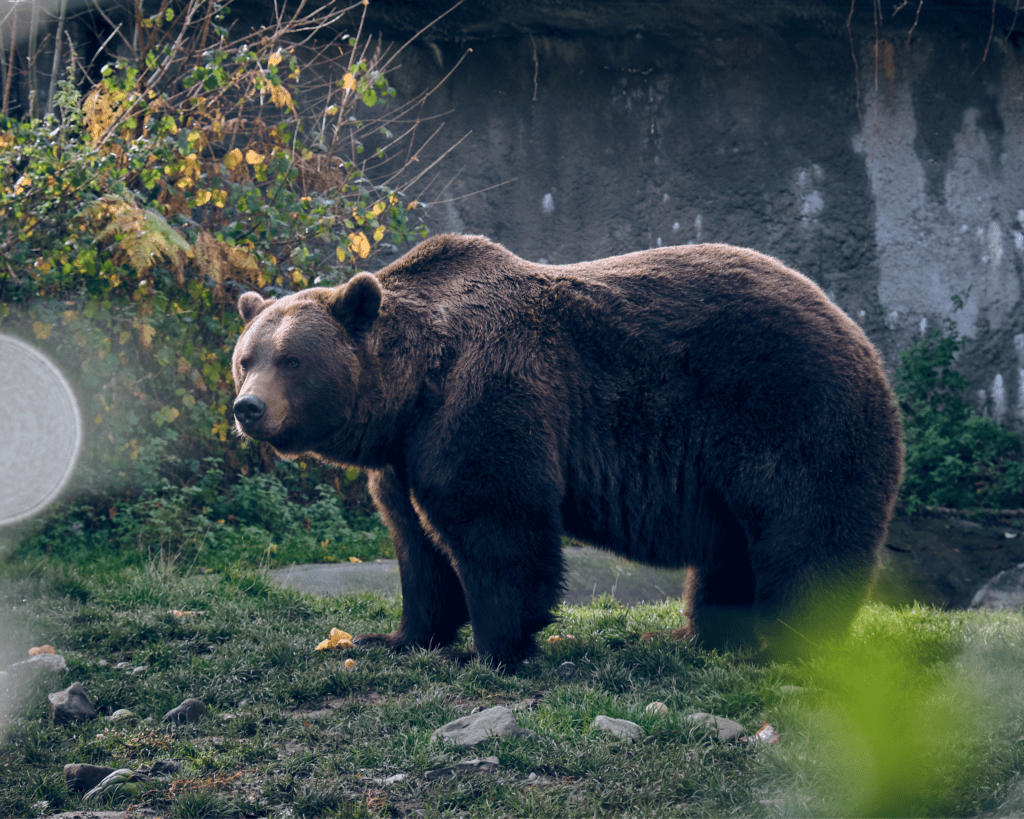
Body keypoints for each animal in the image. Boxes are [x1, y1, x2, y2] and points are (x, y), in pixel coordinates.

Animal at [231, 234, 903, 669]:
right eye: (246, 357)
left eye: (291, 359)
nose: (247, 408)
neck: (415, 389)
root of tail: (854, 329)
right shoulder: (403, 455)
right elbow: (416, 545)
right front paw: (397, 637)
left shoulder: (486, 404)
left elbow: (497, 528)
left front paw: (496, 649)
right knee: (731, 553)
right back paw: (704, 637)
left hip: (789, 411)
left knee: (804, 532)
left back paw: (790, 644)